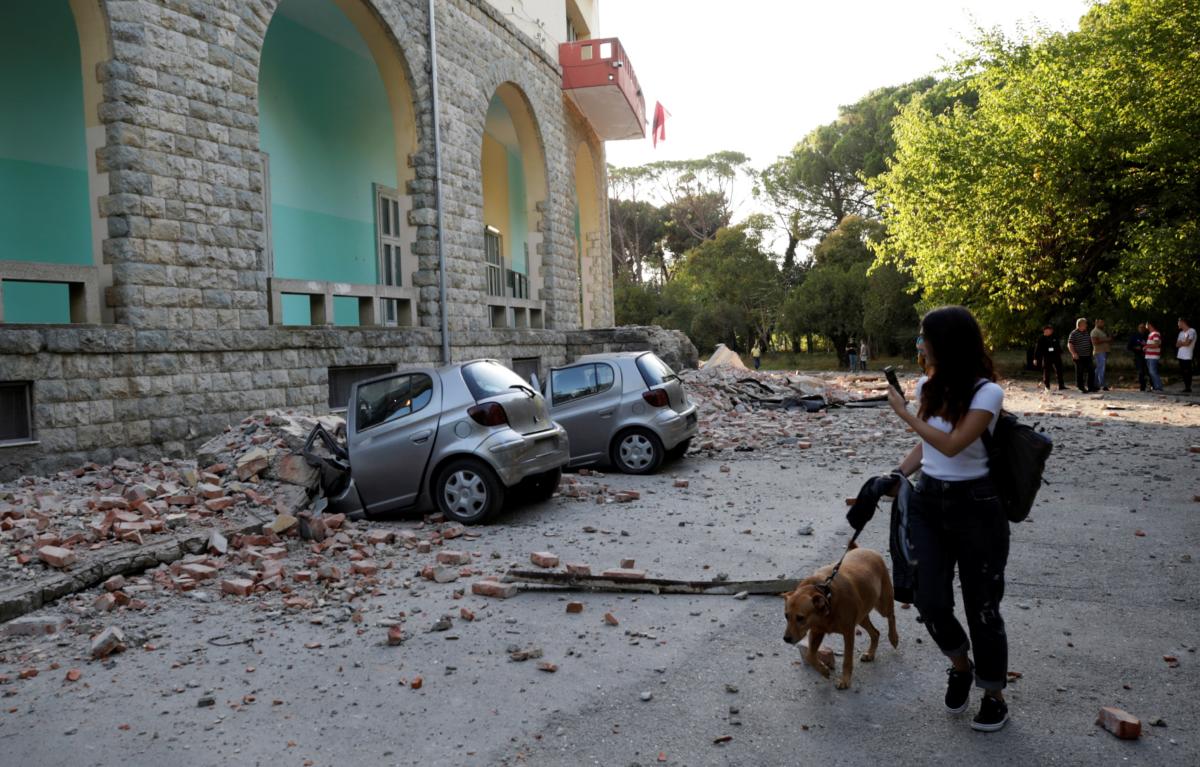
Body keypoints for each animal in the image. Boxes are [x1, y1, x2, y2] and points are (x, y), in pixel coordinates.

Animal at [782, 547, 897, 691]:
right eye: (786, 616)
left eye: (800, 617)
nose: (786, 639)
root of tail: (864, 548)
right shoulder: (816, 632)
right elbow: (809, 655)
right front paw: (823, 670)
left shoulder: (848, 633)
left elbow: (847, 660)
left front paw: (845, 680)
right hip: (861, 617)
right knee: (876, 633)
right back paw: (870, 654)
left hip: (882, 604)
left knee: (891, 615)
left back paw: (894, 638)